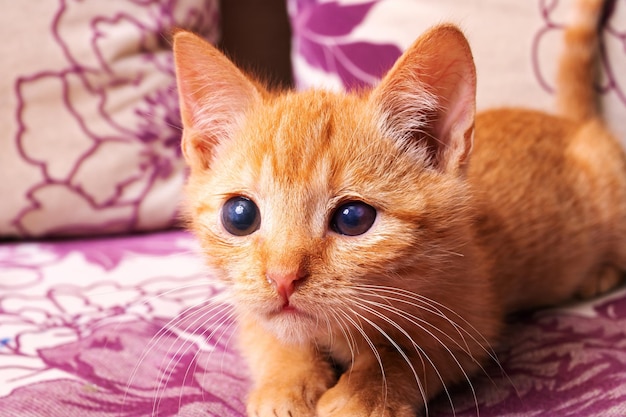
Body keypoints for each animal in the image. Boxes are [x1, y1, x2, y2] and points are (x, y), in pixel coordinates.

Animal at [171, 1, 624, 414]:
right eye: (240, 216)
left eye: (353, 218)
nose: (282, 278)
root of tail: (573, 124)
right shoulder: (248, 303)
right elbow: (271, 335)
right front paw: (286, 384)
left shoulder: (471, 316)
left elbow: (410, 354)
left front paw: (363, 394)